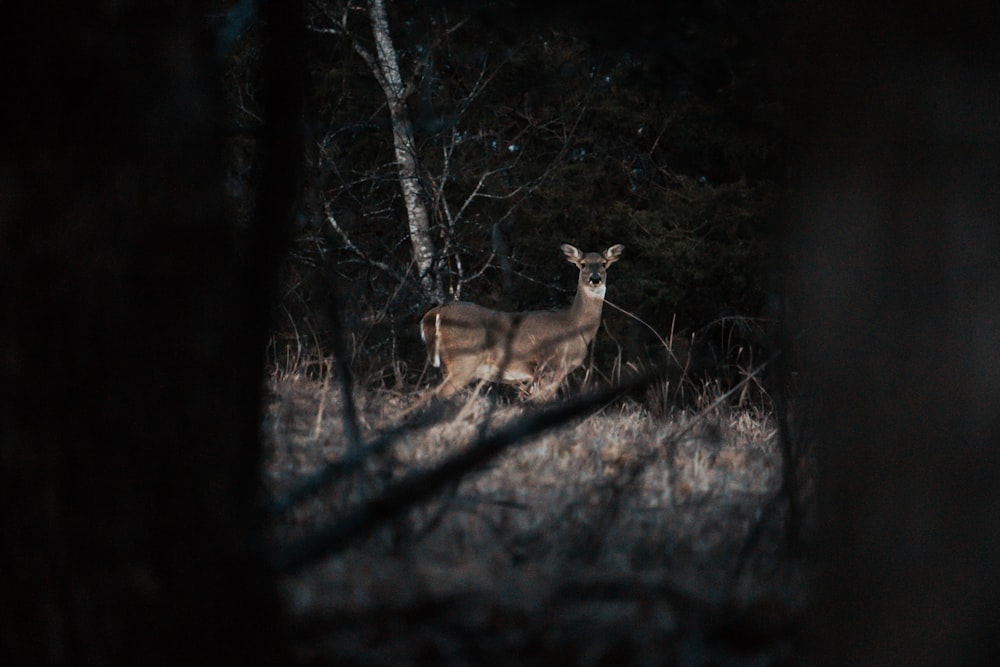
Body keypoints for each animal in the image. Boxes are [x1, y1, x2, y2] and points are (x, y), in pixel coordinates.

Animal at [418, 245, 620, 402]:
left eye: (603, 264)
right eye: (583, 264)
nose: (595, 279)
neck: (576, 325)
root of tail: (433, 314)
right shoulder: (551, 366)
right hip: (464, 359)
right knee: (438, 394)